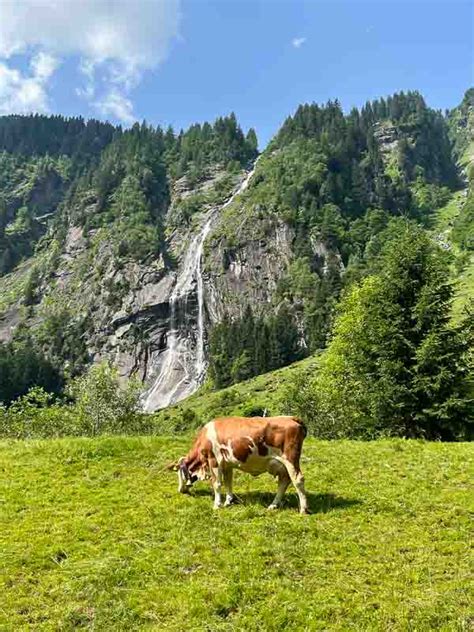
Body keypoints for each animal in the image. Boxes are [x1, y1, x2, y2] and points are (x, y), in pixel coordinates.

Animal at [168, 414, 310, 512]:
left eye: (179, 473)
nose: (180, 490)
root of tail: (291, 418)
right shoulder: (227, 463)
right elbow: (228, 482)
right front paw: (228, 501)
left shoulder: (214, 460)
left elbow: (217, 484)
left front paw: (217, 505)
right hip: (281, 465)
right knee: (284, 481)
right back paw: (273, 505)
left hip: (290, 459)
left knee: (298, 479)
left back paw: (303, 509)